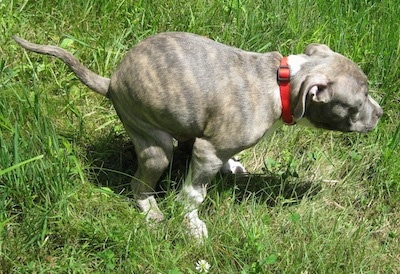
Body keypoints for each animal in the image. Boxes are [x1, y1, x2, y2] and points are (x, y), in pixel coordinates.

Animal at [12, 32, 382, 240]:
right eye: (357, 103)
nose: (380, 114)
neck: (281, 84)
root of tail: (112, 82)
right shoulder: (209, 150)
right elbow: (193, 194)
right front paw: (192, 226)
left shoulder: (214, 145)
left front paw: (232, 167)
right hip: (154, 143)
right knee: (140, 183)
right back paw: (151, 211)